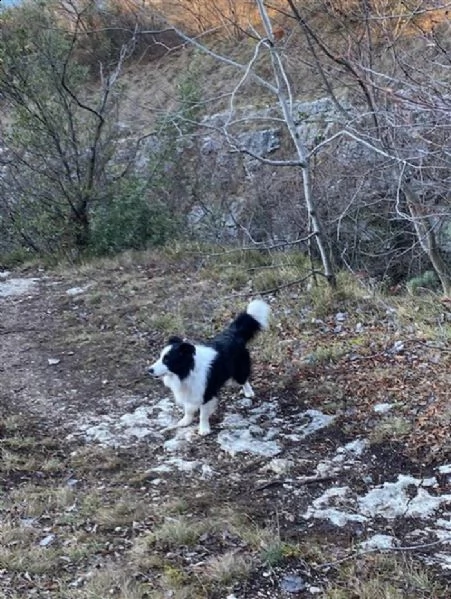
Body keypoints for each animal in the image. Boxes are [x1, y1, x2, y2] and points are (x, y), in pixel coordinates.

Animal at [148, 300, 270, 436]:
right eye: (160, 357)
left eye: (167, 360)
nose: (149, 370)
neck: (186, 371)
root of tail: (233, 333)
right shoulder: (189, 390)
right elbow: (188, 408)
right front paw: (186, 421)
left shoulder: (206, 393)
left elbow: (203, 414)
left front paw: (204, 429)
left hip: (239, 369)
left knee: (243, 379)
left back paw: (248, 392)